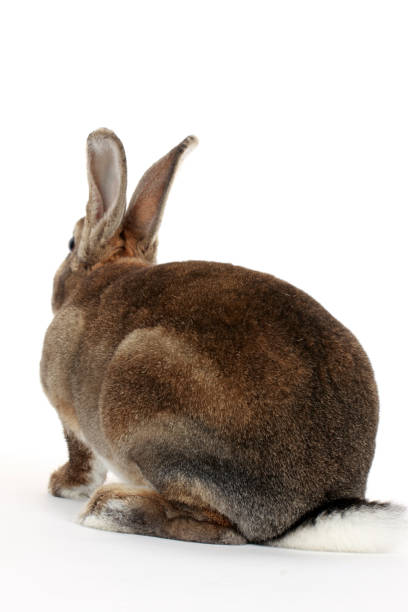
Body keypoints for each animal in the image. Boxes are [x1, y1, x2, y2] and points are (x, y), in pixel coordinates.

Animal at [40, 128, 404, 548]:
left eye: (70, 242)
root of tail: (300, 514)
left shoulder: (69, 415)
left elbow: (81, 456)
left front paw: (62, 485)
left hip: (143, 397)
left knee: (216, 525)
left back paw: (108, 508)